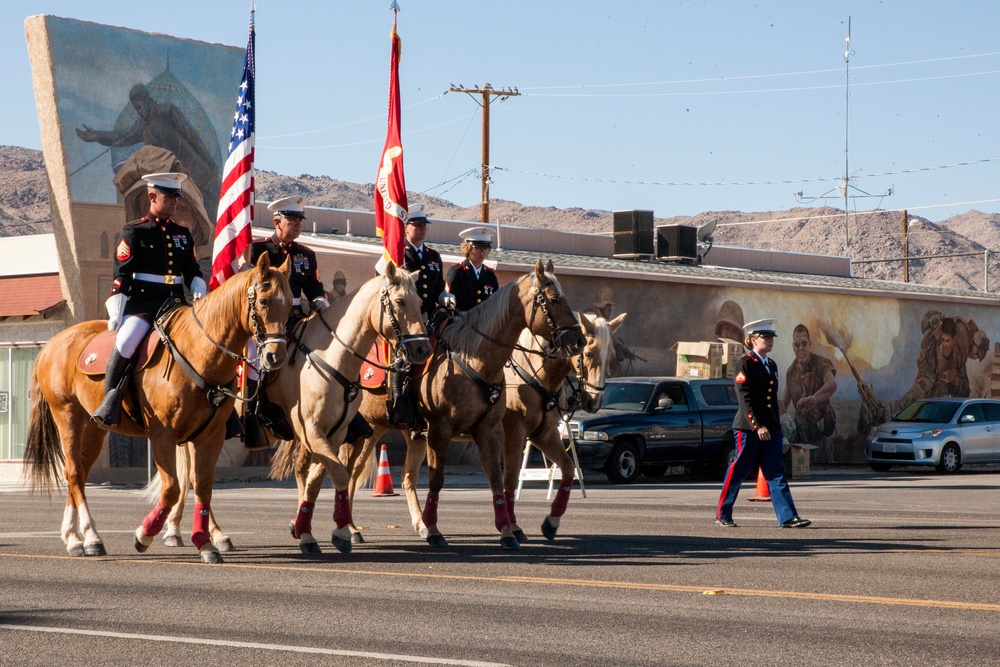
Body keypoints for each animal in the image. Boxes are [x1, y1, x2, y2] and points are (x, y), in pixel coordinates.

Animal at [23, 254, 292, 564]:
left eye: (290, 303)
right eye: (264, 301)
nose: (275, 357)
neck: (199, 353)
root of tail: (53, 343)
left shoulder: (209, 436)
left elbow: (202, 485)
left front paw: (204, 542)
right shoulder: (162, 434)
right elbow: (172, 487)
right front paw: (145, 533)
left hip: (94, 426)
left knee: (77, 471)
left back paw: (73, 537)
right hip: (67, 417)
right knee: (75, 472)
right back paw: (90, 538)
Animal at [156, 264, 430, 556]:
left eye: (420, 302)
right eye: (400, 301)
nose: (422, 348)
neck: (331, 359)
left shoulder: (334, 433)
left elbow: (317, 479)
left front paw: (305, 530)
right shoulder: (311, 430)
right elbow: (338, 474)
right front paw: (337, 531)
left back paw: (184, 531)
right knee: (196, 479)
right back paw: (208, 534)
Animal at [274, 258, 584, 552]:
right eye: (554, 299)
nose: (578, 340)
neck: (474, 358)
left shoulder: (498, 430)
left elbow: (505, 478)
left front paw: (516, 530)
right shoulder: (445, 430)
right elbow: (440, 480)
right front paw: (436, 530)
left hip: (392, 433)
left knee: (402, 477)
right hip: (356, 432)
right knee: (342, 474)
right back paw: (344, 528)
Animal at [504, 310, 620, 544]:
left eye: (611, 356)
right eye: (588, 354)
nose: (595, 402)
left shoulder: (544, 435)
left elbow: (568, 468)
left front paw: (552, 521)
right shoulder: (514, 433)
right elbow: (510, 478)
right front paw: (511, 527)